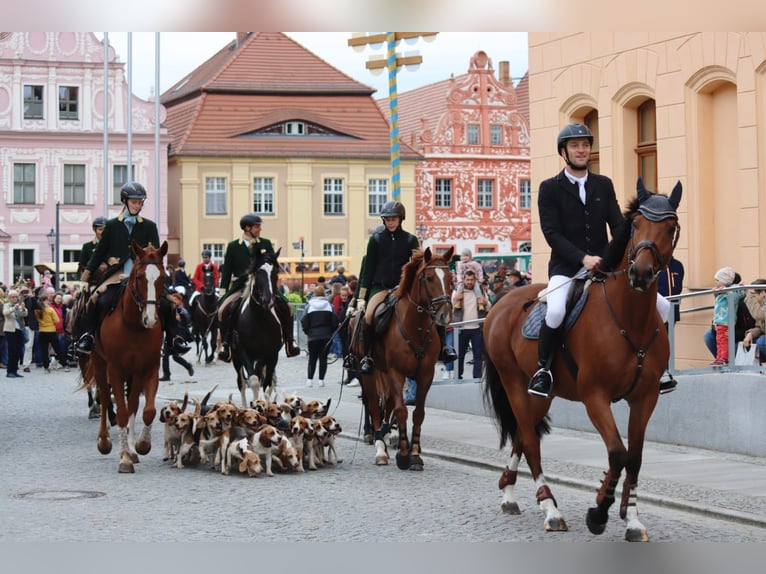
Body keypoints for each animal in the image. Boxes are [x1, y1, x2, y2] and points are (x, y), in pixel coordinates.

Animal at [86, 241, 169, 474]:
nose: (150, 319)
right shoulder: (115, 369)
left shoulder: (148, 368)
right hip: (99, 362)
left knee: (132, 403)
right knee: (105, 398)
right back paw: (104, 441)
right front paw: (123, 457)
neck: (133, 326)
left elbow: (146, 410)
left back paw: (132, 448)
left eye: (162, 277)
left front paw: (140, 445)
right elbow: (122, 412)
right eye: (140, 277)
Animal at [230, 250, 286, 408]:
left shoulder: (271, 355)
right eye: (258, 272)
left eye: (275, 272)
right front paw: (254, 406)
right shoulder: (243, 351)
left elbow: (266, 385)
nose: (268, 300)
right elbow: (253, 381)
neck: (259, 320)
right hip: (236, 358)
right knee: (242, 383)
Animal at [354, 248, 456, 472]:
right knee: (374, 406)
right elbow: (401, 411)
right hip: (369, 374)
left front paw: (415, 454)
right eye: (429, 277)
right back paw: (380, 449)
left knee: (387, 405)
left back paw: (387, 434)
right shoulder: (397, 373)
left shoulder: (426, 375)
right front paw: (403, 455)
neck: (416, 326)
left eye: (451, 279)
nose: (445, 316)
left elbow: (418, 413)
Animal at [484, 182, 688, 544]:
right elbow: (618, 453)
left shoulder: (645, 397)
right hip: (514, 383)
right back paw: (550, 509)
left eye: (669, 227)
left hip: (543, 394)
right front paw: (599, 513)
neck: (628, 317)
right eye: (635, 225)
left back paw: (508, 494)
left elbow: (634, 457)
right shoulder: (596, 396)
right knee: (531, 442)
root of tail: (502, 302)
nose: (640, 274)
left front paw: (631, 519)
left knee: (523, 434)